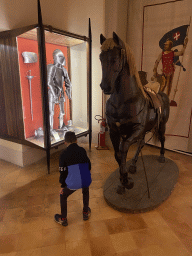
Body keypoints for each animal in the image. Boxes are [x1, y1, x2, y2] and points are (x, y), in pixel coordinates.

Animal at [100, 32, 169, 193]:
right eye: (101, 57)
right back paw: (133, 165)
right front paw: (122, 181)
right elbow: (118, 154)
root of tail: (162, 95)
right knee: (142, 143)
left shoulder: (136, 130)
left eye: (116, 58)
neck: (124, 101)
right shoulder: (114, 131)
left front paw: (126, 181)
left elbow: (123, 149)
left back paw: (162, 156)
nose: (105, 86)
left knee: (162, 138)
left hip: (161, 125)